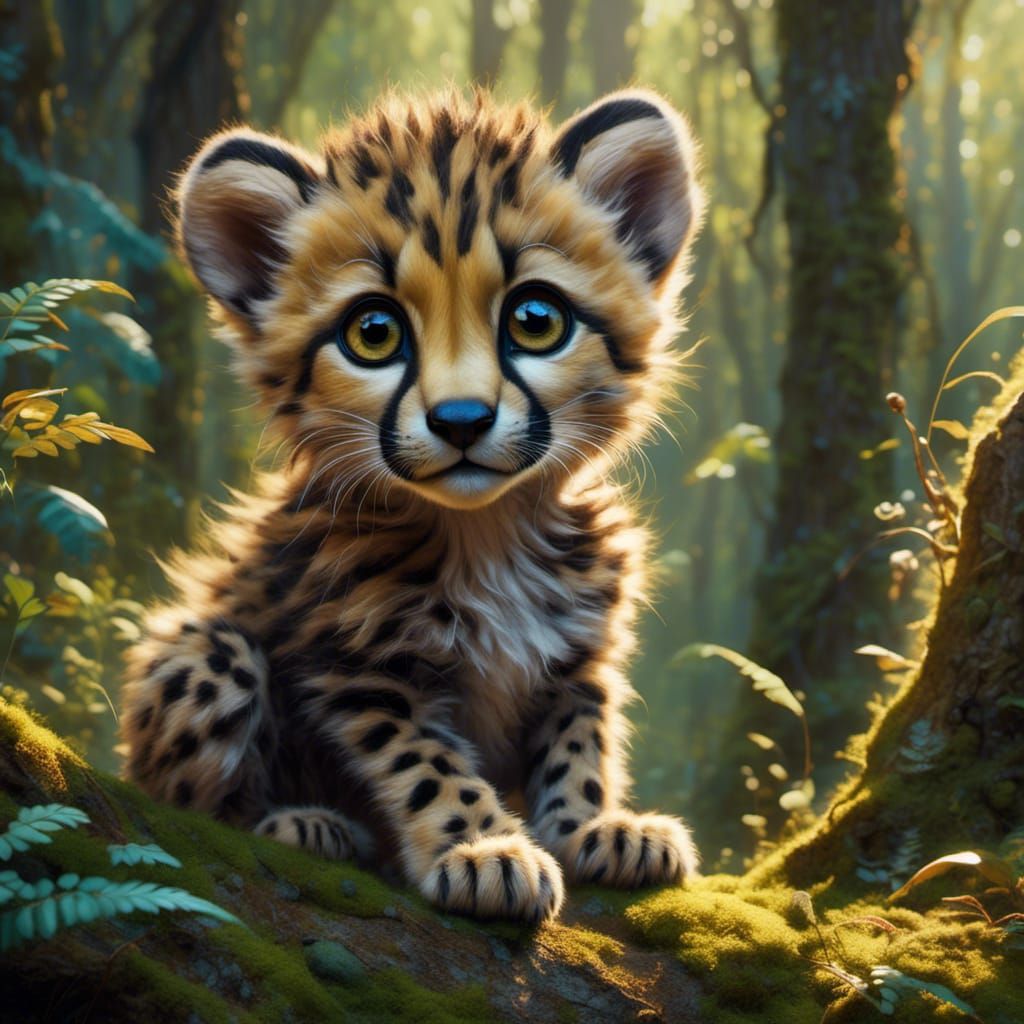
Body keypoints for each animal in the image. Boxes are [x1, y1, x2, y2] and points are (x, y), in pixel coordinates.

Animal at [120, 86, 705, 924]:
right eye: (374, 333)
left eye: (536, 321)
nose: (461, 420)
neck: (486, 531)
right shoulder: (358, 666)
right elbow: (427, 764)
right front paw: (488, 852)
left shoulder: (579, 656)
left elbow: (579, 743)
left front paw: (594, 829)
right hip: (206, 653)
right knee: (189, 792)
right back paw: (298, 823)